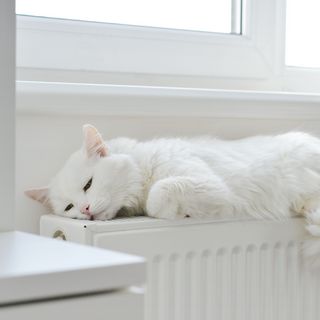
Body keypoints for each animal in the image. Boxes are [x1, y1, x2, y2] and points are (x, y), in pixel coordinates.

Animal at [26, 125, 320, 240]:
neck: (144, 166)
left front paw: (177, 212)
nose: (85, 210)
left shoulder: (213, 187)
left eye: (88, 184)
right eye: (69, 208)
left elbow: (158, 195)